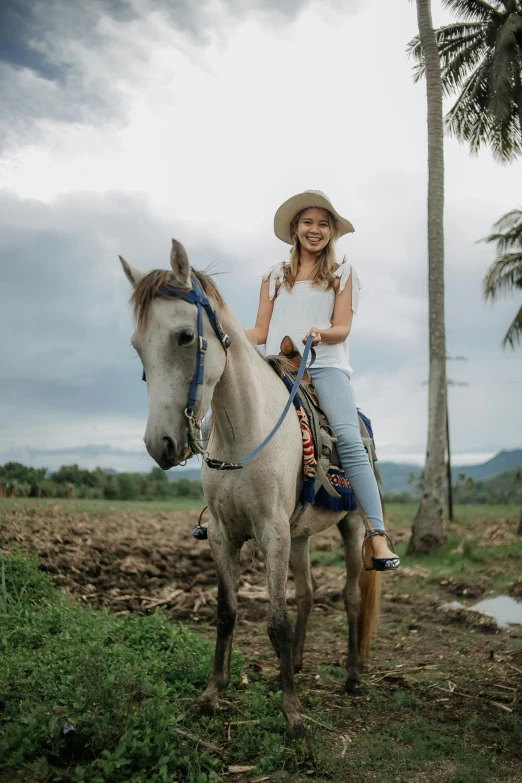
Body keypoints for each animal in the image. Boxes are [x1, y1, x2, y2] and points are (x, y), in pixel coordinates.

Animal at [119, 242, 378, 740]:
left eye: (185, 336)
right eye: (136, 346)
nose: (160, 444)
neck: (245, 432)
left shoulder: (271, 531)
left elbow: (275, 621)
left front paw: (293, 715)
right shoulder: (225, 534)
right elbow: (227, 612)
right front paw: (211, 694)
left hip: (352, 524)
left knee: (351, 595)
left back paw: (354, 677)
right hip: (299, 535)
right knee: (308, 593)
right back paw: (297, 664)